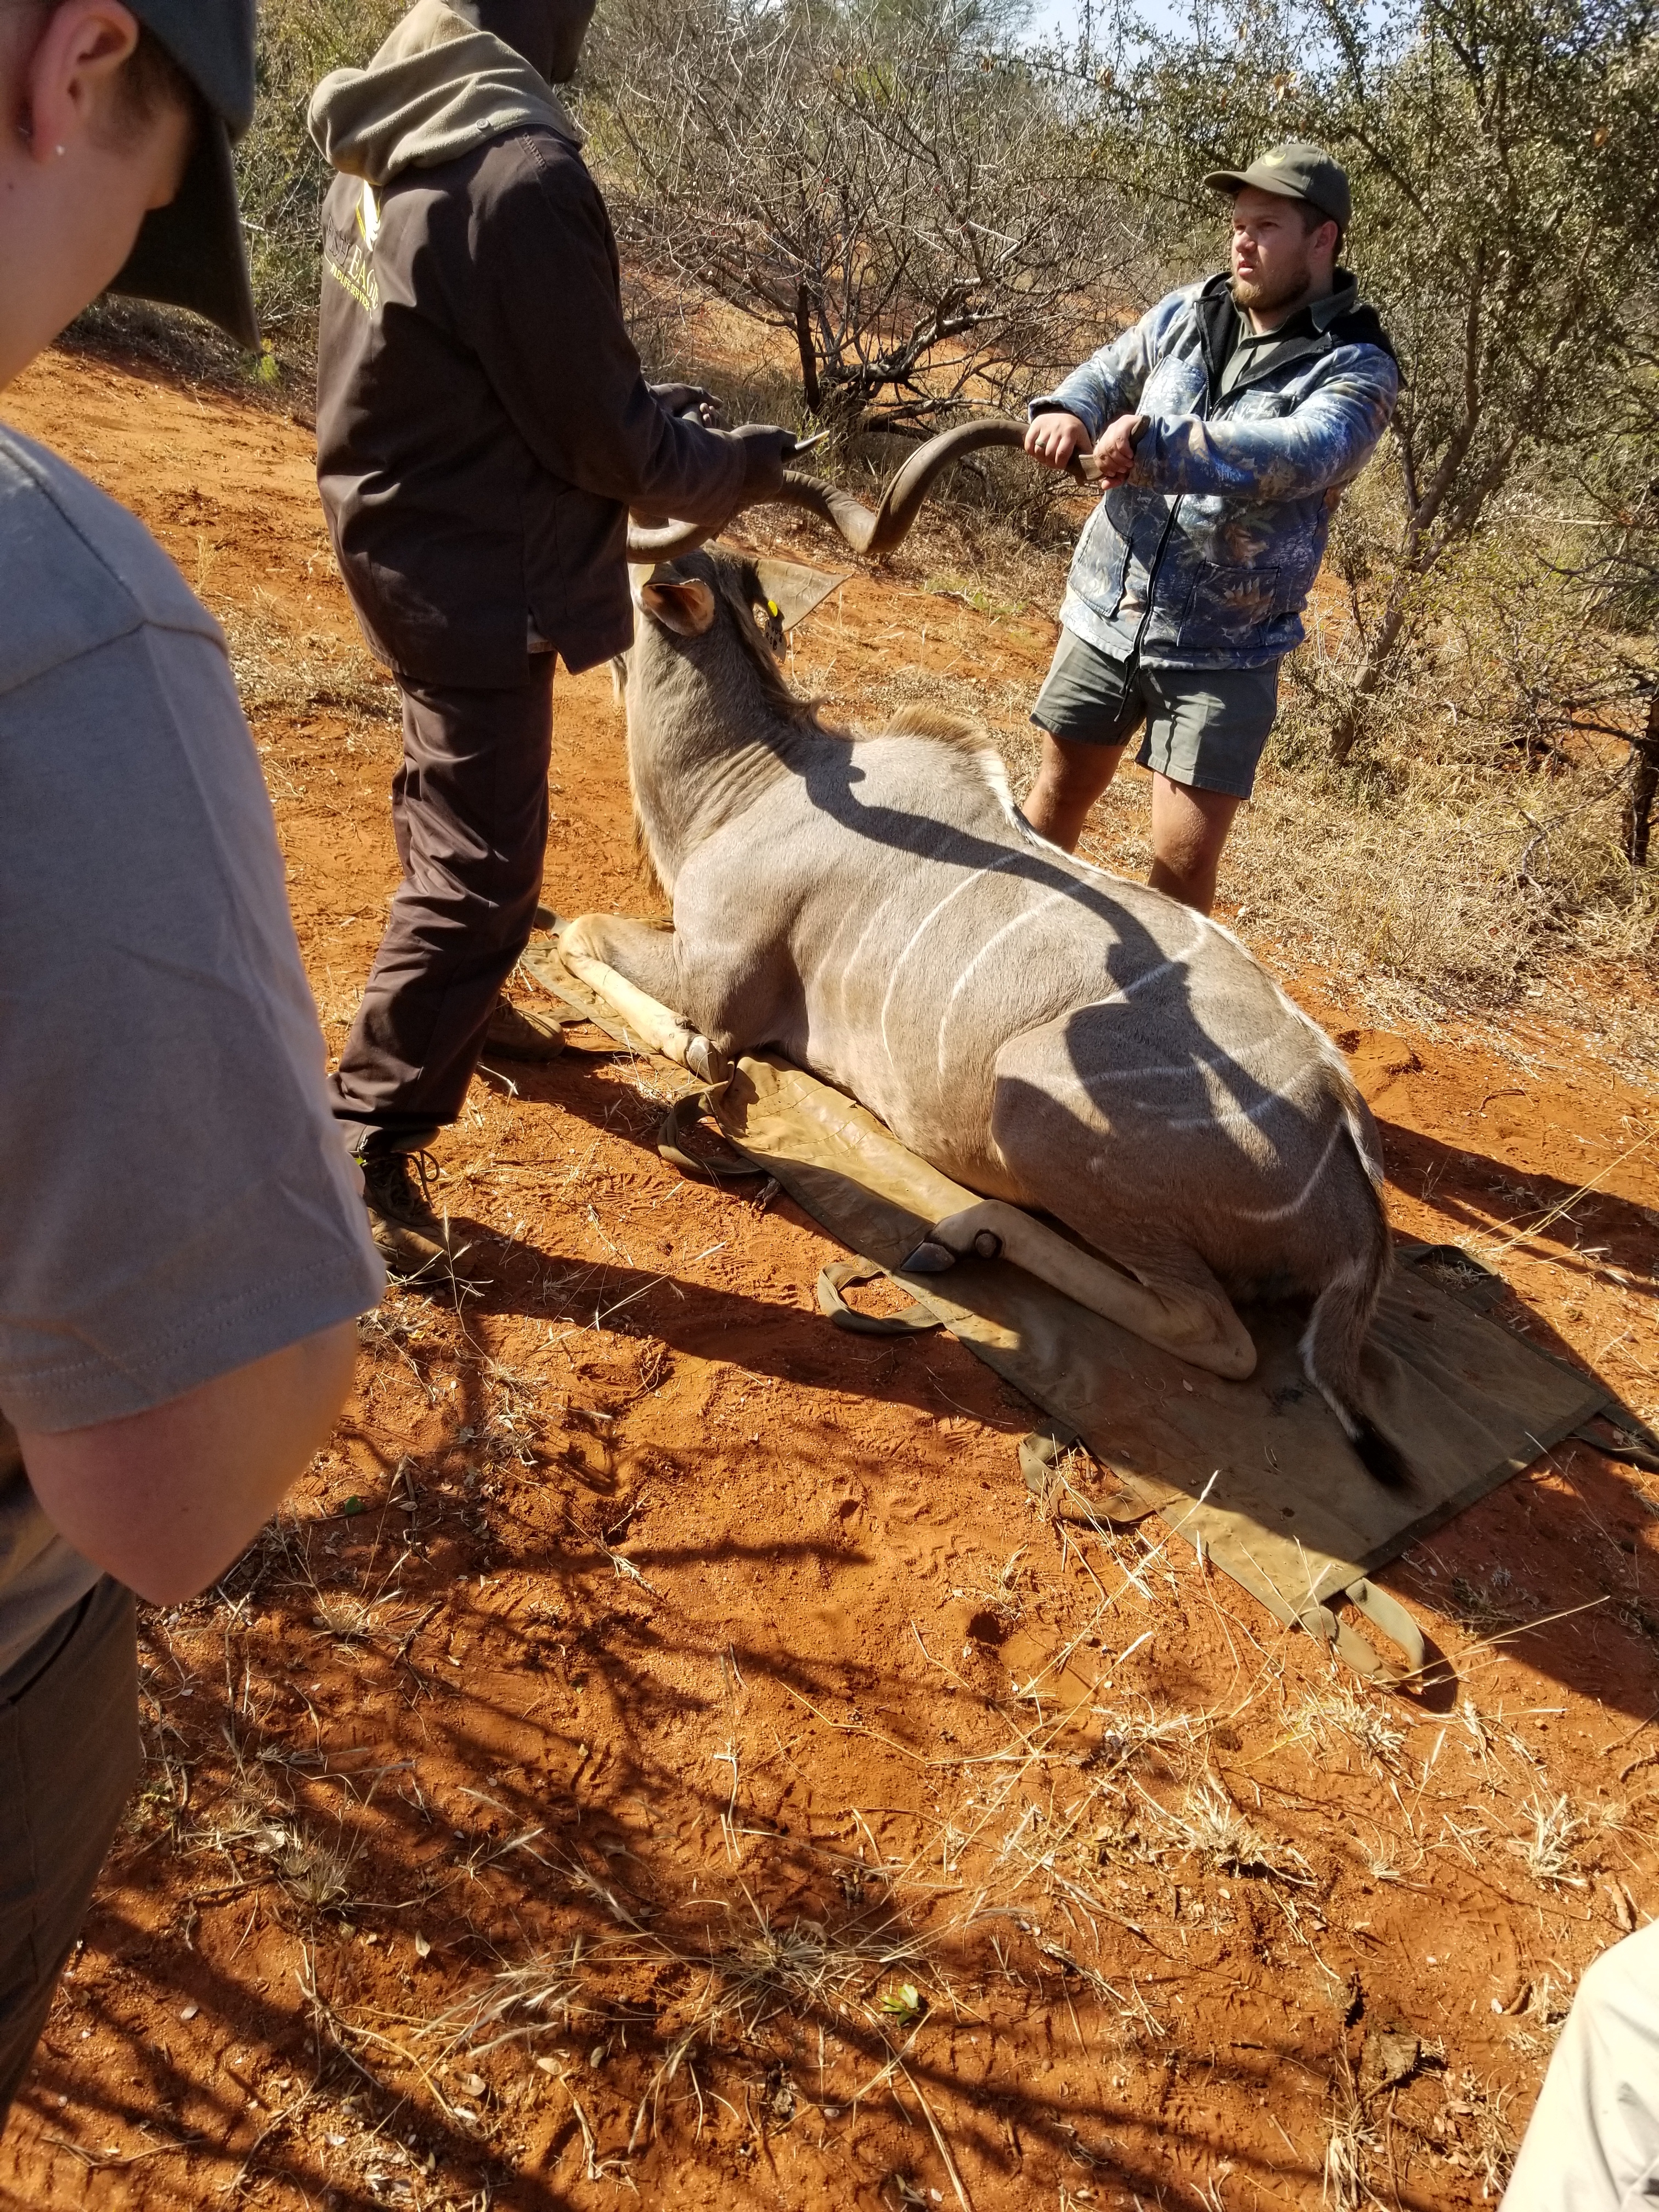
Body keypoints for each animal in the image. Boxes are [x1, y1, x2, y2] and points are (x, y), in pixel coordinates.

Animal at [560, 423, 1405, 1484]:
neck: (756, 783)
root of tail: (1348, 1173)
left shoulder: (719, 986)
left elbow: (598, 951)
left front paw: (686, 1059)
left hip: (1034, 1106)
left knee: (1215, 1334)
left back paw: (968, 1232)